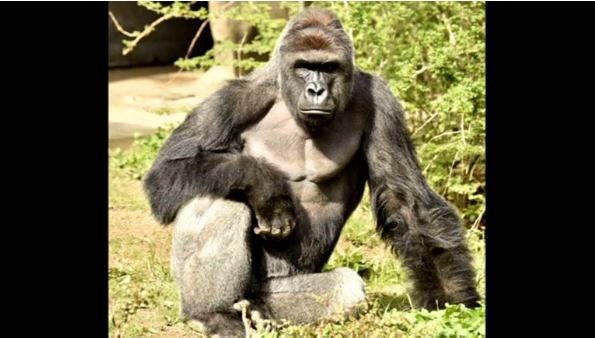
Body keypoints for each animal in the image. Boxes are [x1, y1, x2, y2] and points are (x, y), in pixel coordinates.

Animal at [146, 6, 484, 336]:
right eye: (304, 66)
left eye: (329, 68)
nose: (316, 89)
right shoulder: (233, 99)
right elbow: (165, 173)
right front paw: (264, 185)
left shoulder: (382, 103)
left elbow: (406, 201)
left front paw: (453, 300)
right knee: (218, 196)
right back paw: (212, 313)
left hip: (276, 289)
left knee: (342, 289)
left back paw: (256, 311)